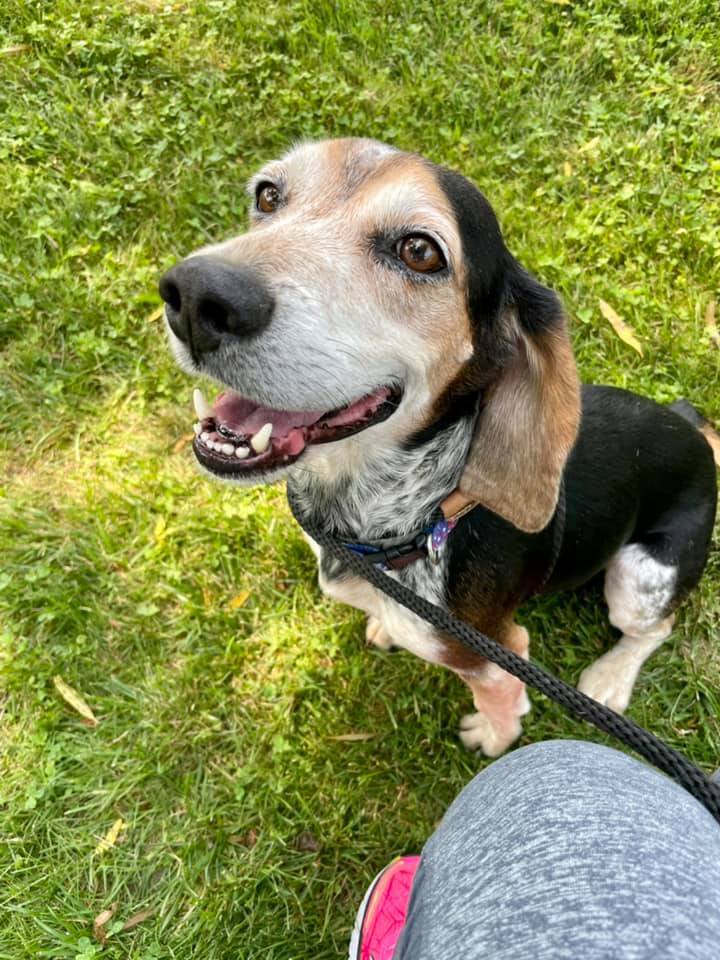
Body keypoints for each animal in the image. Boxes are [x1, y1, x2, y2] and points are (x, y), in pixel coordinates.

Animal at [160, 139, 716, 760]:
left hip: (640, 576)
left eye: (420, 252)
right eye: (268, 195)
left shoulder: (493, 651)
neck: (415, 516)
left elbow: (499, 700)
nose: (194, 296)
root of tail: (695, 432)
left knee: (654, 627)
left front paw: (493, 738)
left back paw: (610, 678)